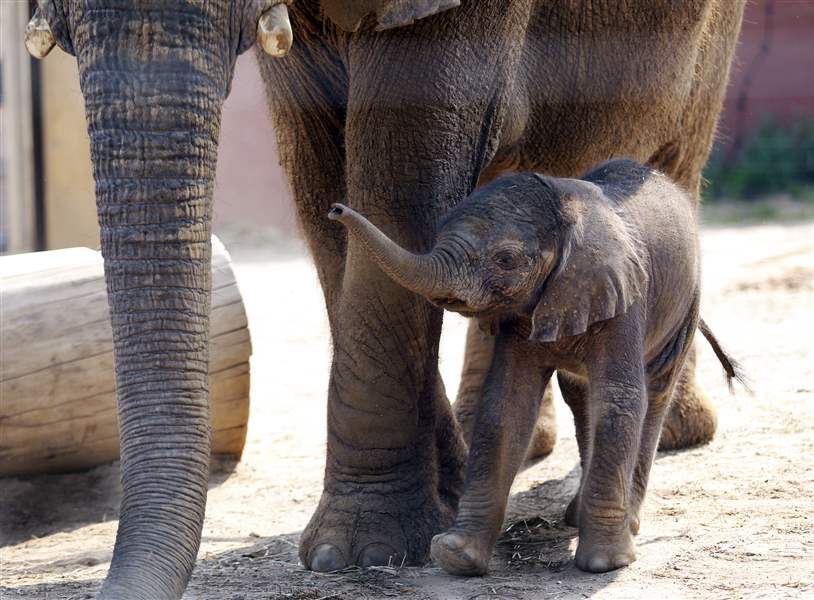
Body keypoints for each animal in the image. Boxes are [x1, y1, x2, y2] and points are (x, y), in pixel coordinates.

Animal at [328, 158, 744, 575]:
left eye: (506, 259)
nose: (336, 209)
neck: (566, 206)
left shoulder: (626, 299)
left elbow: (620, 402)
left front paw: (604, 564)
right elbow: (506, 405)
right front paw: (456, 556)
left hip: (684, 303)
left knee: (653, 394)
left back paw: (628, 523)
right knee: (581, 397)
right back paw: (578, 517)